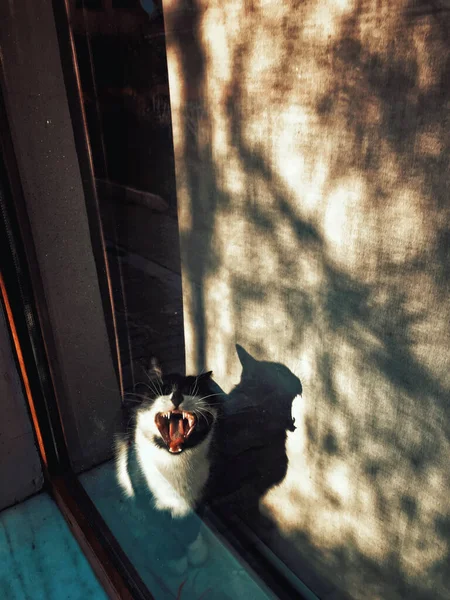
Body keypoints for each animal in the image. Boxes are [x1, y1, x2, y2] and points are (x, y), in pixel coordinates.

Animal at [114, 358, 223, 568]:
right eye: (164, 389)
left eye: (190, 390)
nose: (177, 396)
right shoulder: (148, 496)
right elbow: (162, 531)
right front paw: (175, 561)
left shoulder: (200, 494)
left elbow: (191, 527)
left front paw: (195, 553)